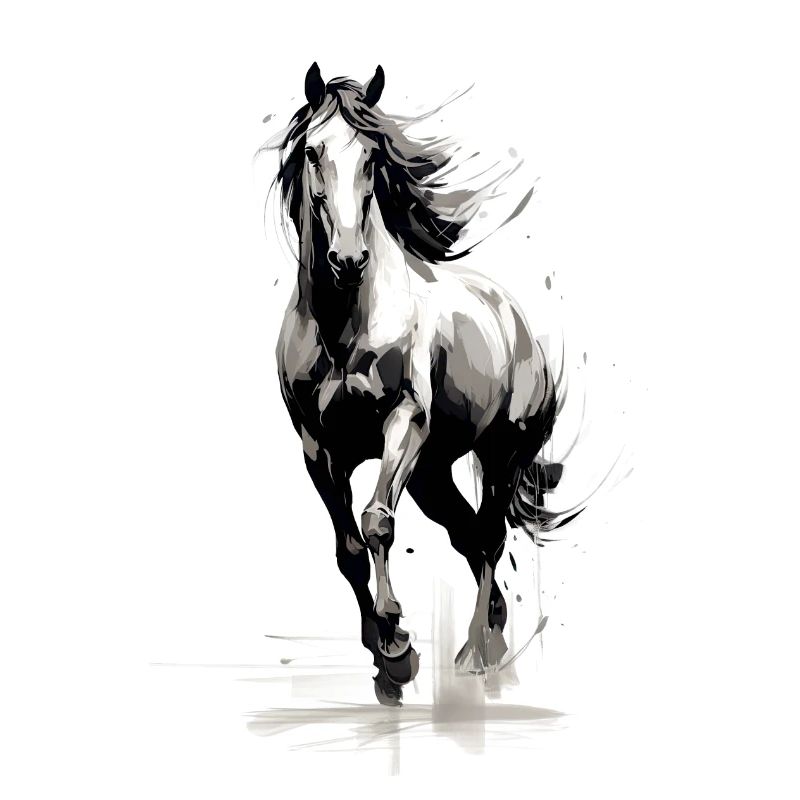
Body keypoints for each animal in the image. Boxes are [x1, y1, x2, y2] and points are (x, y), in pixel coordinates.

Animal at [268, 63, 579, 706]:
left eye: (371, 156)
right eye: (311, 151)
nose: (348, 260)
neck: (343, 324)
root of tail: (515, 320)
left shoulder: (404, 423)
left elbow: (376, 522)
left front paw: (397, 636)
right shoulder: (317, 450)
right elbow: (349, 551)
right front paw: (389, 659)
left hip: (497, 453)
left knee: (489, 536)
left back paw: (477, 657)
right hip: (432, 475)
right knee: (468, 538)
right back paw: (495, 647)